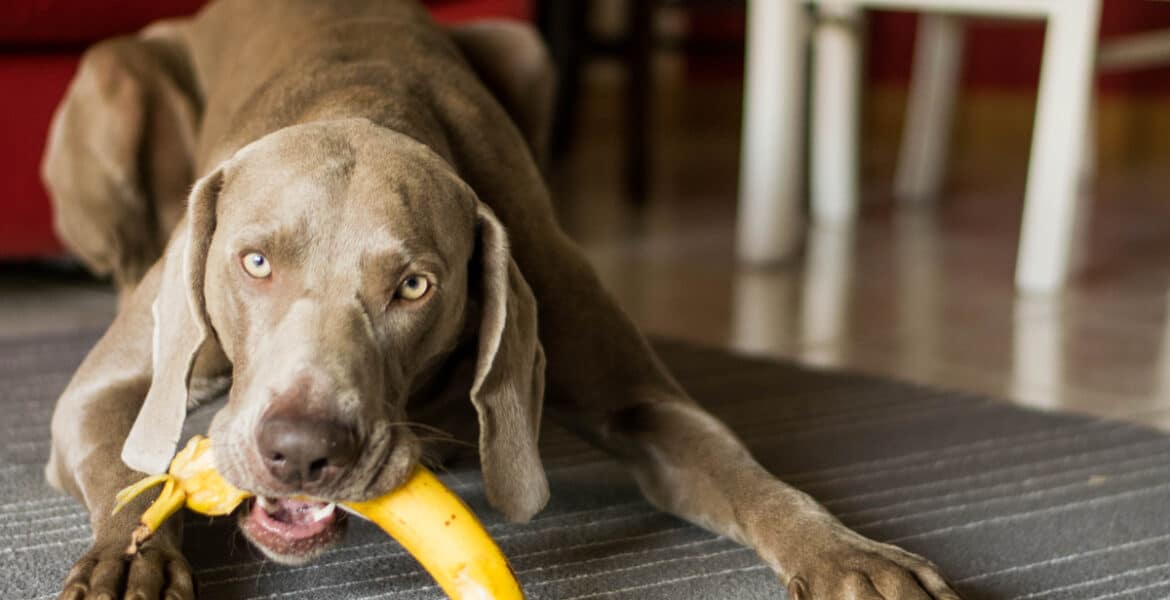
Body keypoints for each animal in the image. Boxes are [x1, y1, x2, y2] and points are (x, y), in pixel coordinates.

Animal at [43, 2, 959, 596]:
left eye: (414, 285)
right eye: (255, 262)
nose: (302, 452)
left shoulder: (639, 394)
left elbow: (744, 472)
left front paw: (845, 555)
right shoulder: (101, 392)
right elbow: (124, 465)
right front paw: (130, 559)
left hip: (525, 49)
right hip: (113, 80)